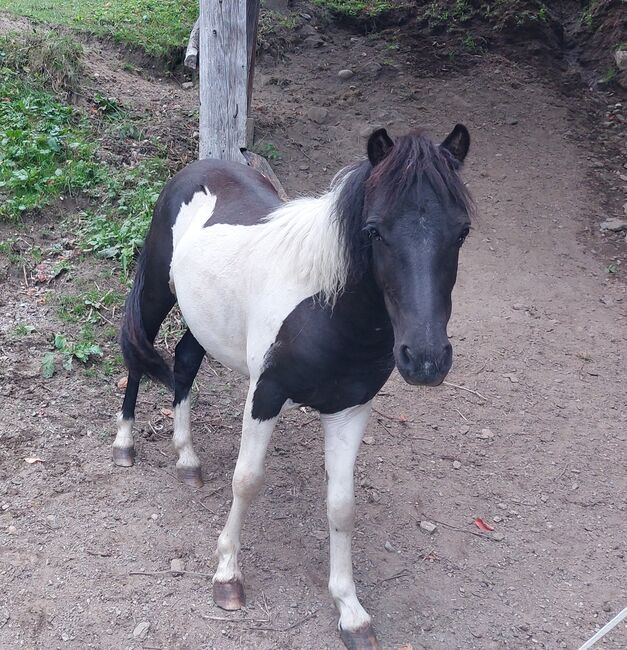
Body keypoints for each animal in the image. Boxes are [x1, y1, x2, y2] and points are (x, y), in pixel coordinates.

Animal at [114, 124, 476, 644]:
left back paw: (187, 459)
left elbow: (342, 506)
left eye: (461, 231)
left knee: (183, 363)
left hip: (202, 322)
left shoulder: (350, 410)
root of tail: (196, 169)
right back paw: (124, 443)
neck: (326, 308)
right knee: (135, 355)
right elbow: (246, 480)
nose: (426, 360)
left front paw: (350, 610)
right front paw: (227, 576)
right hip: (156, 295)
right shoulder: (265, 395)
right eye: (375, 230)